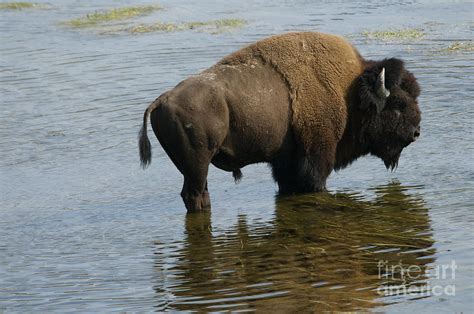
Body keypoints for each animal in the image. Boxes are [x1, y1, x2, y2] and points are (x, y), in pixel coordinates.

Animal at [139, 31, 420, 212]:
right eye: (398, 104)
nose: (416, 132)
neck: (348, 91)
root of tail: (162, 100)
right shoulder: (317, 158)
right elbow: (315, 181)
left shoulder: (285, 164)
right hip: (197, 165)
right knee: (194, 195)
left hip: (194, 168)